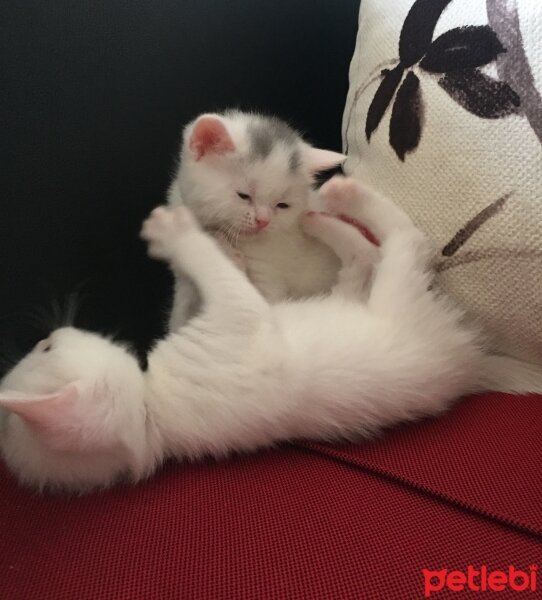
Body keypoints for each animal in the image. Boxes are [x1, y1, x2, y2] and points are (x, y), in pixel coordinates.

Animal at [1, 180, 542, 494]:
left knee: (369, 257)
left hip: (361, 292)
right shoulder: (243, 317)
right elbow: (221, 276)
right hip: (399, 296)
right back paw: (340, 205)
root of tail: (471, 364)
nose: (51, 330)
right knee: (403, 243)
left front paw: (210, 244)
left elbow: (199, 288)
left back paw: (324, 212)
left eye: (45, 346)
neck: (152, 415)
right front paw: (178, 232)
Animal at [168, 110, 348, 330]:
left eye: (282, 205)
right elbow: (181, 313)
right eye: (243, 195)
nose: (263, 221)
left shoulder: (268, 275)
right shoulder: (184, 282)